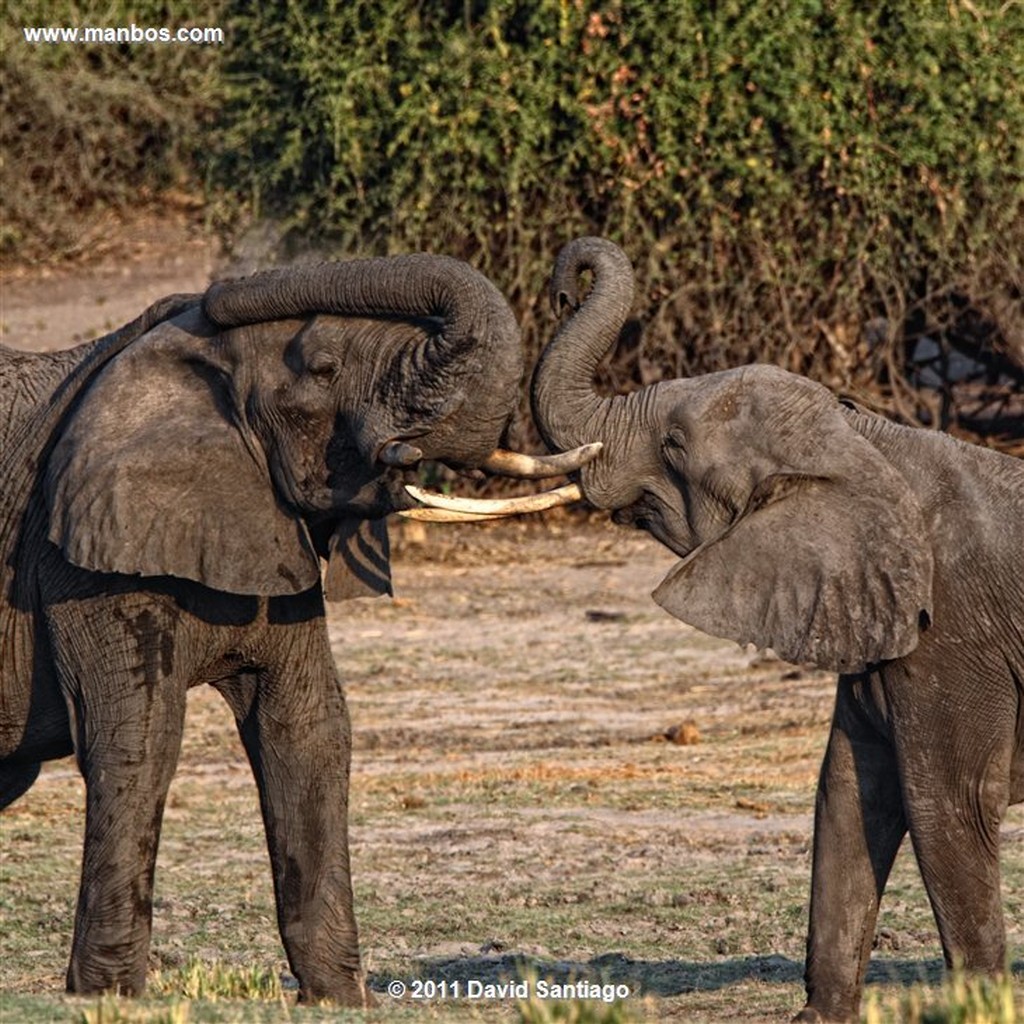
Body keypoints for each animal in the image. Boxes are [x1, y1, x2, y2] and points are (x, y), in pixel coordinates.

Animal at [0, 253, 598, 999]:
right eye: (323, 369)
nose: (570, 283)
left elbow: (308, 729)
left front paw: (342, 998)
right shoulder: (84, 555)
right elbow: (138, 739)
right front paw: (105, 997)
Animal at [528, 235, 1024, 1019]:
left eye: (674, 445)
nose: (565, 283)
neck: (861, 439)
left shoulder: (955, 635)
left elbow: (948, 803)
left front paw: (979, 1007)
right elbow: (851, 792)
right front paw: (817, 1017)